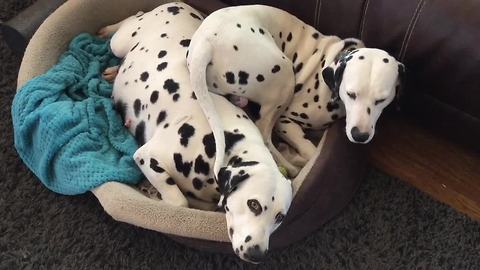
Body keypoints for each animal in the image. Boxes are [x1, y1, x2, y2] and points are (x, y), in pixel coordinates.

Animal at [97, 2, 292, 262]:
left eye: (280, 217)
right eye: (254, 205)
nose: (257, 254)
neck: (225, 145)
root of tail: (178, 4)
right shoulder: (147, 156)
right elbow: (180, 203)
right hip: (120, 41)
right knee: (130, 21)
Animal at [186, 4, 404, 177]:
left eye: (381, 100)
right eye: (351, 94)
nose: (360, 135)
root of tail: (205, 44)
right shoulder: (286, 120)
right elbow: (309, 150)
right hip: (284, 76)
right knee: (265, 135)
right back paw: (289, 167)